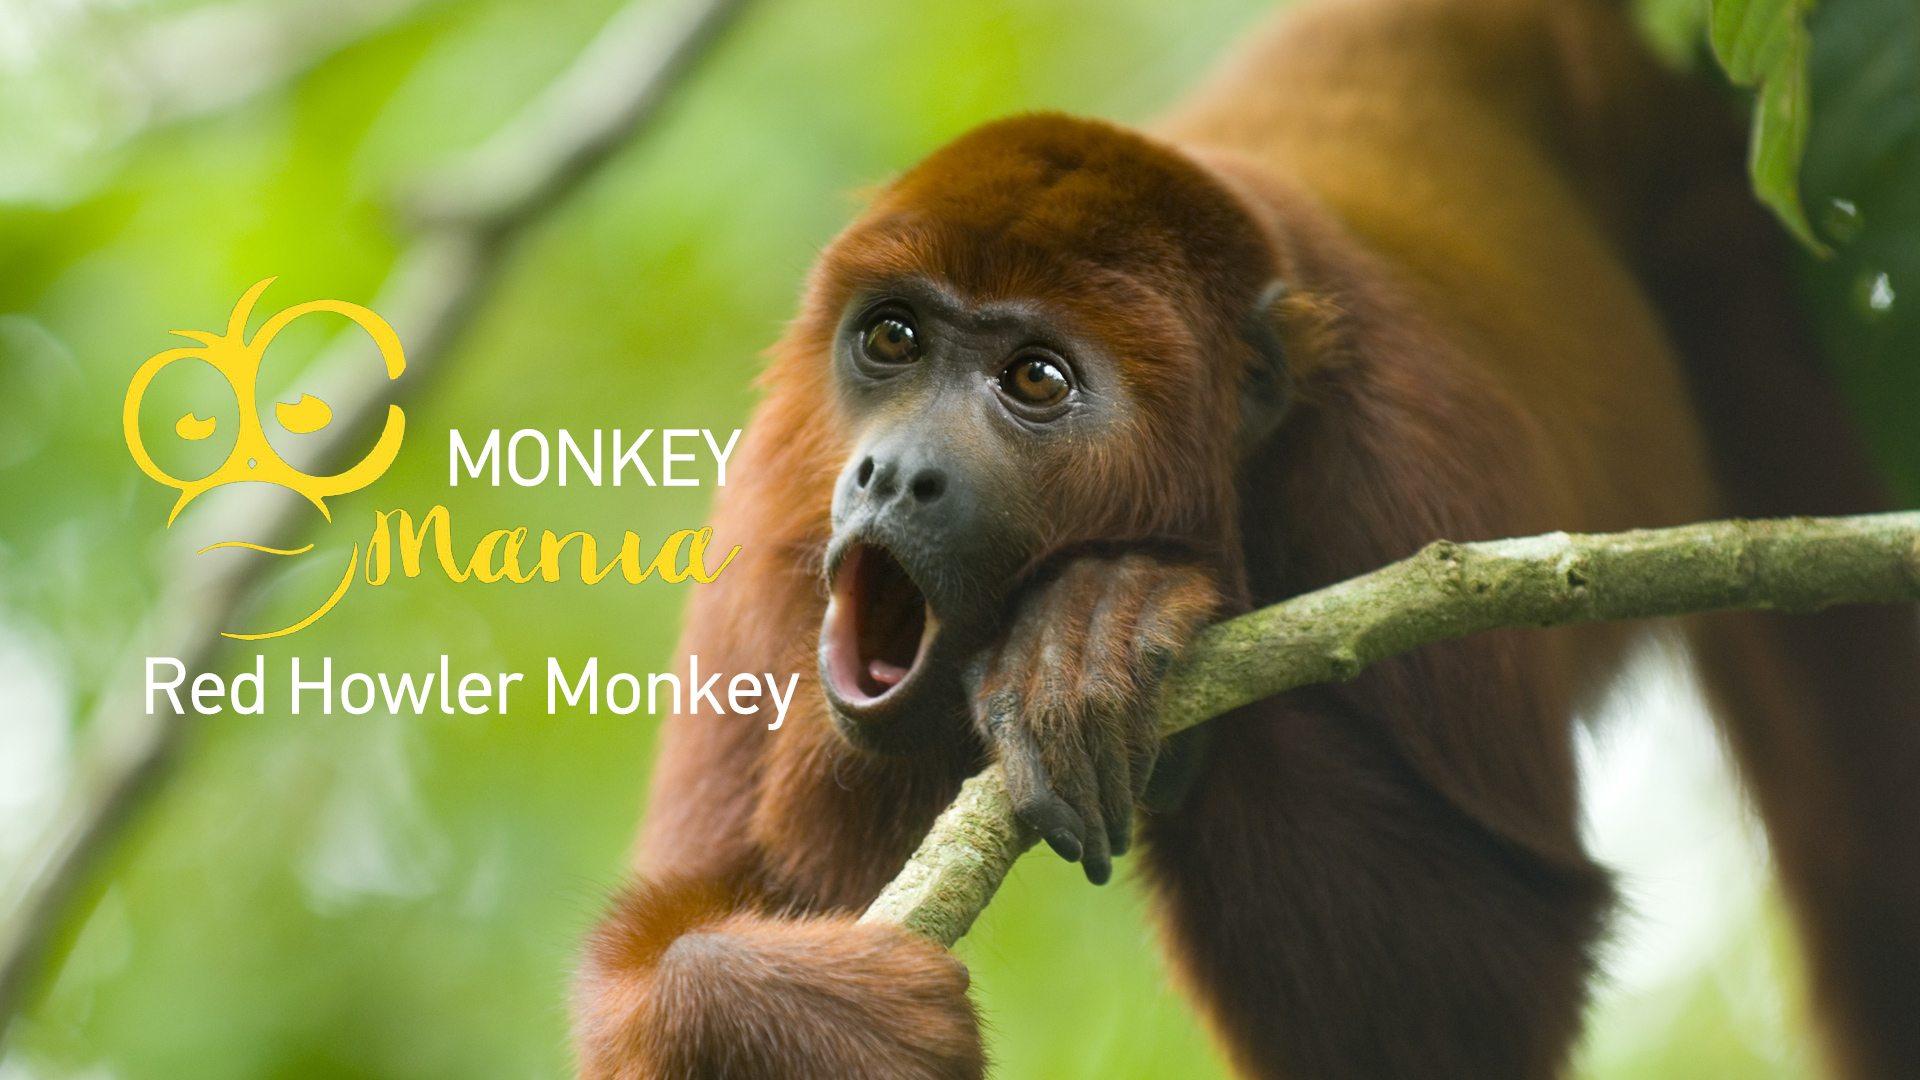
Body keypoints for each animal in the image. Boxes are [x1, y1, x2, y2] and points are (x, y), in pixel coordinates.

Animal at [570, 0, 1920, 1076]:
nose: (895, 472)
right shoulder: (775, 501)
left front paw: (1100, 630)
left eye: (1037, 380)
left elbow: (1483, 979)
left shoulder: (1411, 464)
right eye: (892, 340)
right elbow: (676, 927)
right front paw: (792, 1008)